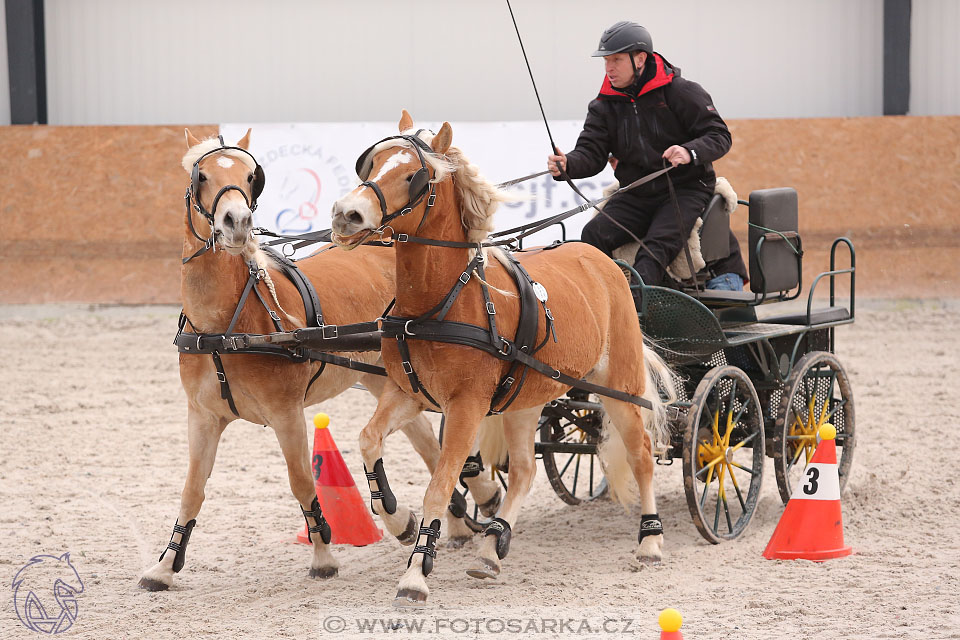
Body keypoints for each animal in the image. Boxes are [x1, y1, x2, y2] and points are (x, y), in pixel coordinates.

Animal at [142, 129, 502, 592]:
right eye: (200, 175)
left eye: (251, 176)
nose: (236, 222)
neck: (225, 326)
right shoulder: (202, 416)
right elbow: (191, 491)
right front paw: (166, 566)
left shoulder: (286, 412)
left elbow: (301, 482)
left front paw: (323, 557)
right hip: (388, 379)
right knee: (428, 443)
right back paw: (439, 522)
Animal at [330, 112, 676, 608]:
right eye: (370, 163)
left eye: (413, 175)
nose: (346, 214)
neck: (439, 305)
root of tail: (599, 257)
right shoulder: (407, 394)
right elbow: (368, 441)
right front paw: (398, 519)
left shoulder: (466, 407)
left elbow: (439, 487)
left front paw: (415, 574)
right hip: (525, 398)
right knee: (527, 471)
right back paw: (492, 549)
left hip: (620, 386)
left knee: (642, 453)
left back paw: (650, 542)